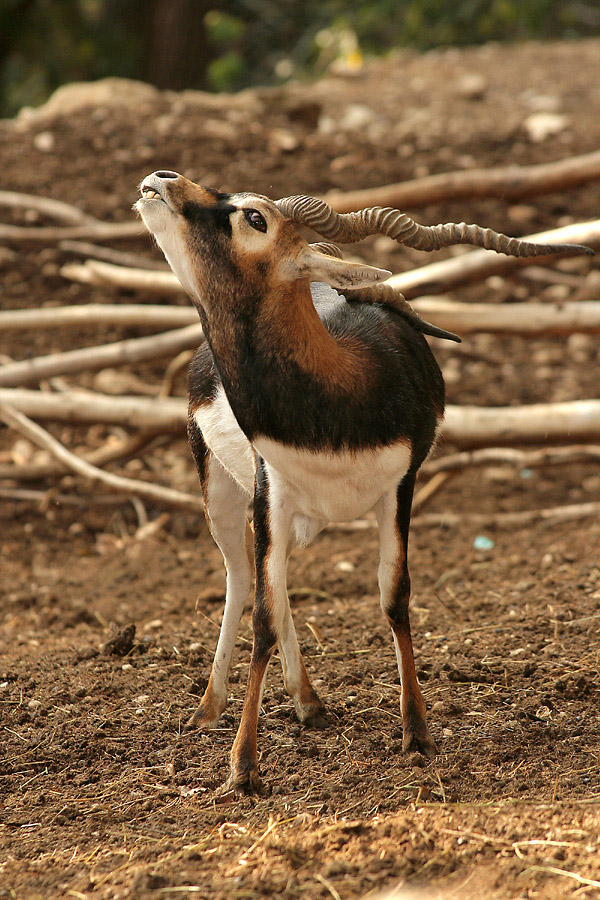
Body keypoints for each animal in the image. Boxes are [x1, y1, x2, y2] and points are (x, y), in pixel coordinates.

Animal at [136, 171, 591, 792]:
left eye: (254, 217)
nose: (164, 180)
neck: (338, 391)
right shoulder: (271, 490)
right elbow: (262, 616)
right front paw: (243, 766)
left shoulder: (400, 488)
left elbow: (394, 597)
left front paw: (417, 733)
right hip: (222, 489)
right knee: (242, 578)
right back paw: (210, 708)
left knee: (272, 587)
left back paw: (308, 703)